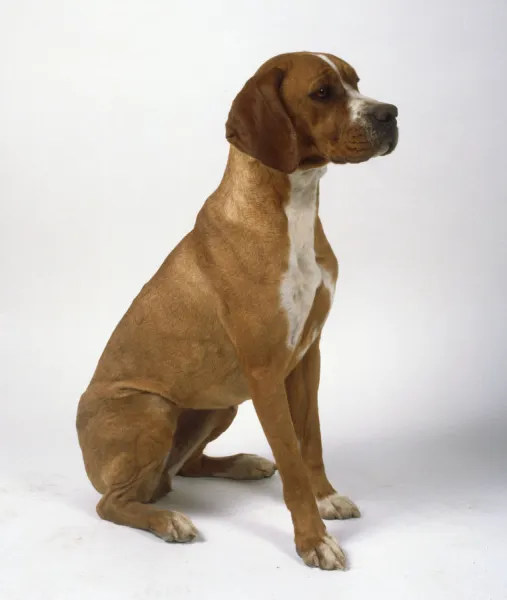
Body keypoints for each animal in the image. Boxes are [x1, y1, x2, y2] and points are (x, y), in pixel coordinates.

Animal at [77, 50, 398, 568]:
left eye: (355, 81)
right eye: (322, 92)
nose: (390, 113)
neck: (292, 210)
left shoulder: (307, 357)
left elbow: (311, 440)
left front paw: (326, 497)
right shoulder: (266, 372)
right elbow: (292, 460)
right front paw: (313, 540)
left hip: (221, 405)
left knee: (182, 469)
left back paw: (240, 465)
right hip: (153, 409)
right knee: (114, 502)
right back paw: (167, 521)